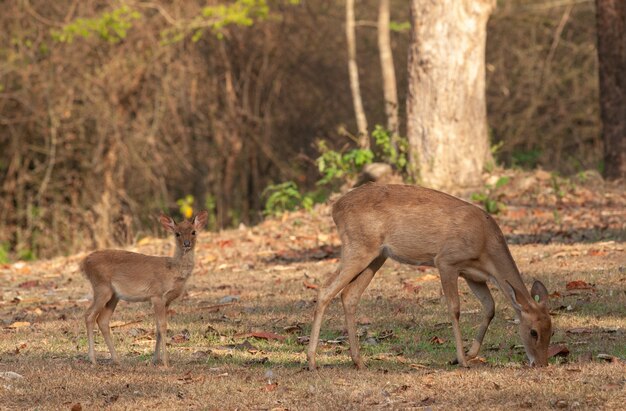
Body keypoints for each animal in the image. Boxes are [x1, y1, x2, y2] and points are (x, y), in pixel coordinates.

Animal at [79, 211, 207, 366]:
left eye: (193, 232)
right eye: (177, 233)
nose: (186, 244)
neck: (172, 271)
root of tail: (84, 263)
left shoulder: (167, 301)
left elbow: (158, 328)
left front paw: (155, 359)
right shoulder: (157, 295)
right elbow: (162, 326)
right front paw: (166, 363)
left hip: (113, 295)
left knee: (102, 320)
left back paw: (116, 359)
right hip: (101, 287)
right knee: (89, 315)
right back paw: (93, 359)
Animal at [308, 184, 552, 370]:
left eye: (551, 329)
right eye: (533, 332)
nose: (541, 364)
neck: (485, 246)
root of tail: (335, 208)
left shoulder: (474, 275)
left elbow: (490, 307)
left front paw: (468, 354)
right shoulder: (446, 261)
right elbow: (454, 308)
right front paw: (462, 359)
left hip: (377, 256)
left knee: (349, 295)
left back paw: (358, 361)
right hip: (358, 247)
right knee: (325, 290)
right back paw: (311, 361)